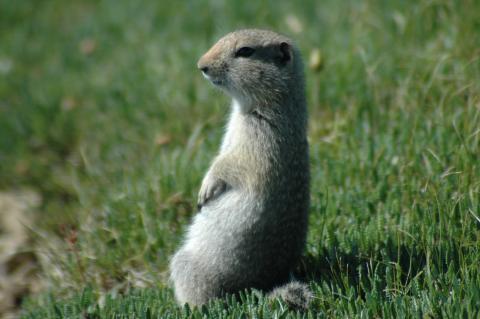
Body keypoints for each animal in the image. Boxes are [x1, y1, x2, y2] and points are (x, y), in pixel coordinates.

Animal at [169, 29, 312, 310]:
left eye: (245, 51)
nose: (201, 65)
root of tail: (260, 286)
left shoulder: (258, 138)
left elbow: (230, 164)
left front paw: (205, 189)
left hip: (186, 266)